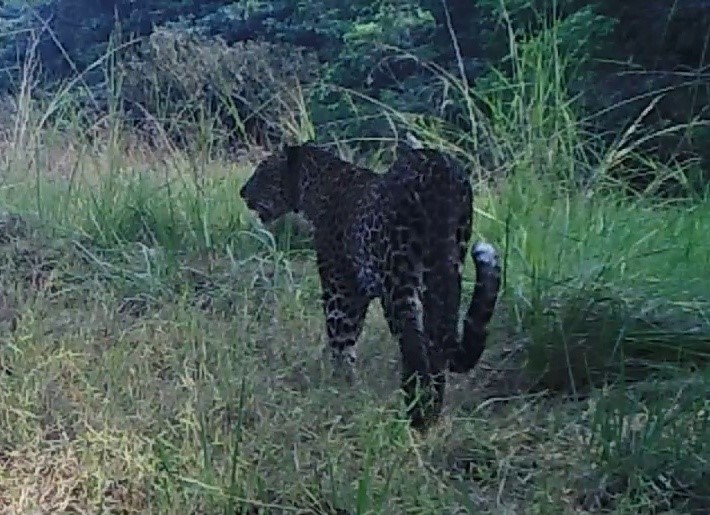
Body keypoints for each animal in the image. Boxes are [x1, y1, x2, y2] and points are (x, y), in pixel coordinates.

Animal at [242, 139, 504, 430]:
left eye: (264, 171)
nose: (242, 192)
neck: (320, 187)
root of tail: (443, 175)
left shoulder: (341, 287)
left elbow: (341, 339)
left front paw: (340, 389)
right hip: (447, 271)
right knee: (435, 343)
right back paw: (431, 412)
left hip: (398, 278)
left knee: (412, 343)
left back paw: (415, 415)